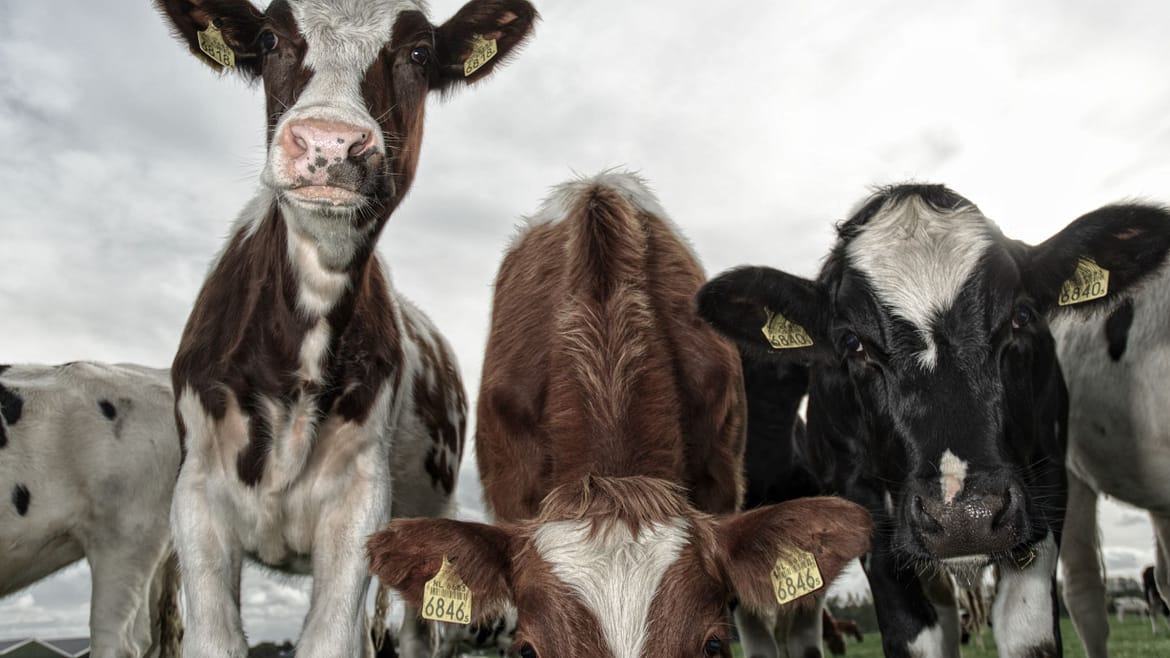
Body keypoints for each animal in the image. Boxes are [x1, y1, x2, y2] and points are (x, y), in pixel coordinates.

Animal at [153, 1, 537, 656]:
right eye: (268, 38)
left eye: (419, 54)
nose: (329, 142)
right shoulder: (196, 495)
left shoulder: (362, 501)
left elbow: (332, 638)